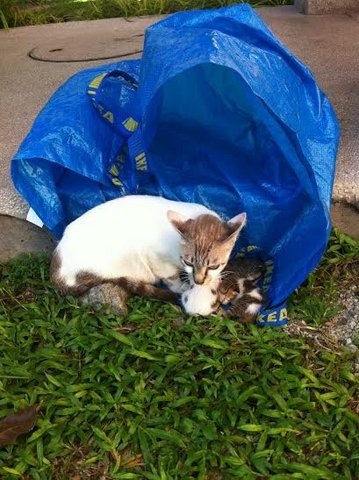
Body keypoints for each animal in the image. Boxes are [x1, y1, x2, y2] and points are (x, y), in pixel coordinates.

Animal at [50, 193, 248, 302]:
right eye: (189, 262)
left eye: (214, 265)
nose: (199, 281)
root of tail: (56, 271)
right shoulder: (156, 259)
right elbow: (170, 278)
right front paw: (181, 287)